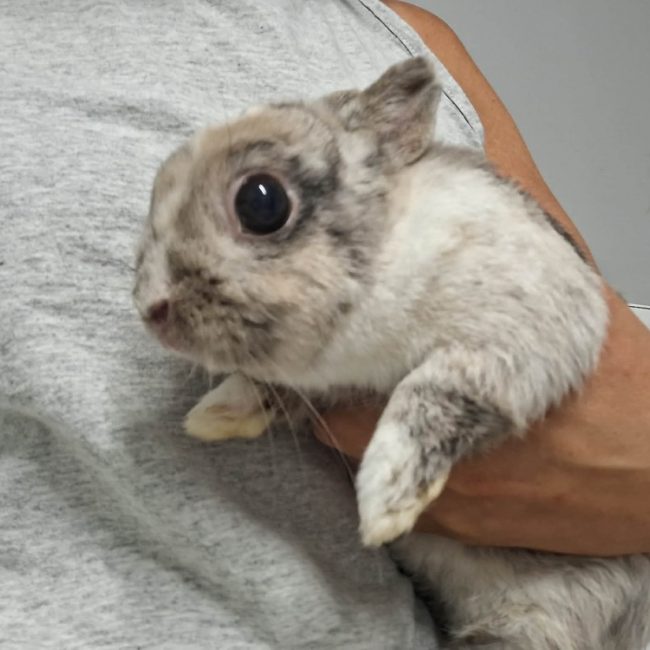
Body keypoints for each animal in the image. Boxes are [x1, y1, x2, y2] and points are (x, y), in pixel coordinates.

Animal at [133, 57, 650, 649]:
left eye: (261, 202)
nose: (151, 307)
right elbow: (277, 392)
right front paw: (215, 415)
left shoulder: (522, 333)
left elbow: (431, 393)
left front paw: (386, 500)